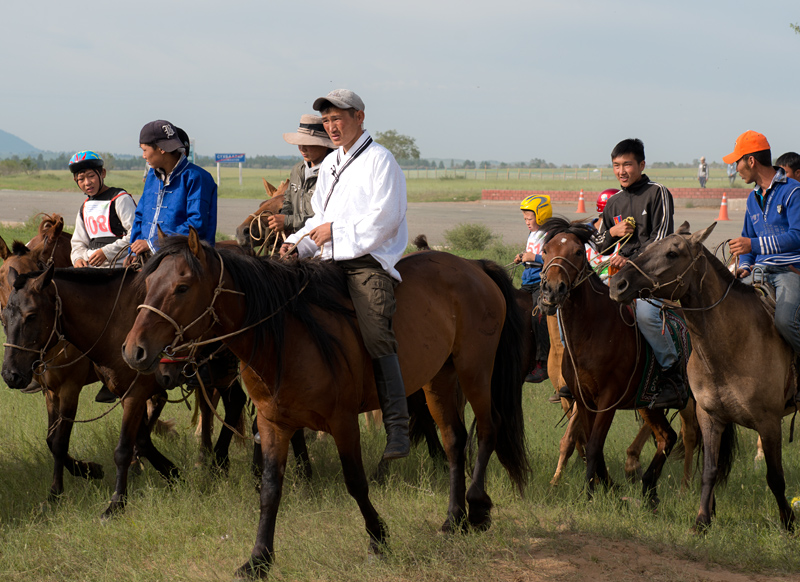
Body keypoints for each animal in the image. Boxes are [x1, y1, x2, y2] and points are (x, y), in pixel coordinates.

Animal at [120, 230, 532, 580]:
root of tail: (473, 266)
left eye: (182, 287)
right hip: (440, 378)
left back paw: (478, 508)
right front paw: (259, 559)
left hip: (475, 368)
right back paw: (454, 518)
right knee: (454, 441)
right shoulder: (273, 424)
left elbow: (356, 482)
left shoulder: (343, 422)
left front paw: (378, 537)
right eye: (148, 284)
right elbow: (270, 490)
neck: (286, 336)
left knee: (489, 429)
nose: (133, 351)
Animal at [536, 218, 680, 506]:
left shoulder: (608, 398)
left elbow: (593, 445)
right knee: (667, 437)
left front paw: (589, 494)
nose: (553, 290)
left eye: (577, 252)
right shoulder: (582, 398)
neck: (593, 330)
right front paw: (608, 487)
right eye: (545, 251)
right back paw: (649, 490)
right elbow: (589, 443)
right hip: (649, 404)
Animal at [608, 221, 796, 532]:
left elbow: (776, 477)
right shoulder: (710, 416)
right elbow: (709, 471)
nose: (617, 284)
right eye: (649, 247)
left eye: (672, 253)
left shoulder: (769, 422)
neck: (733, 342)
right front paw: (702, 520)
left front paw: (789, 524)